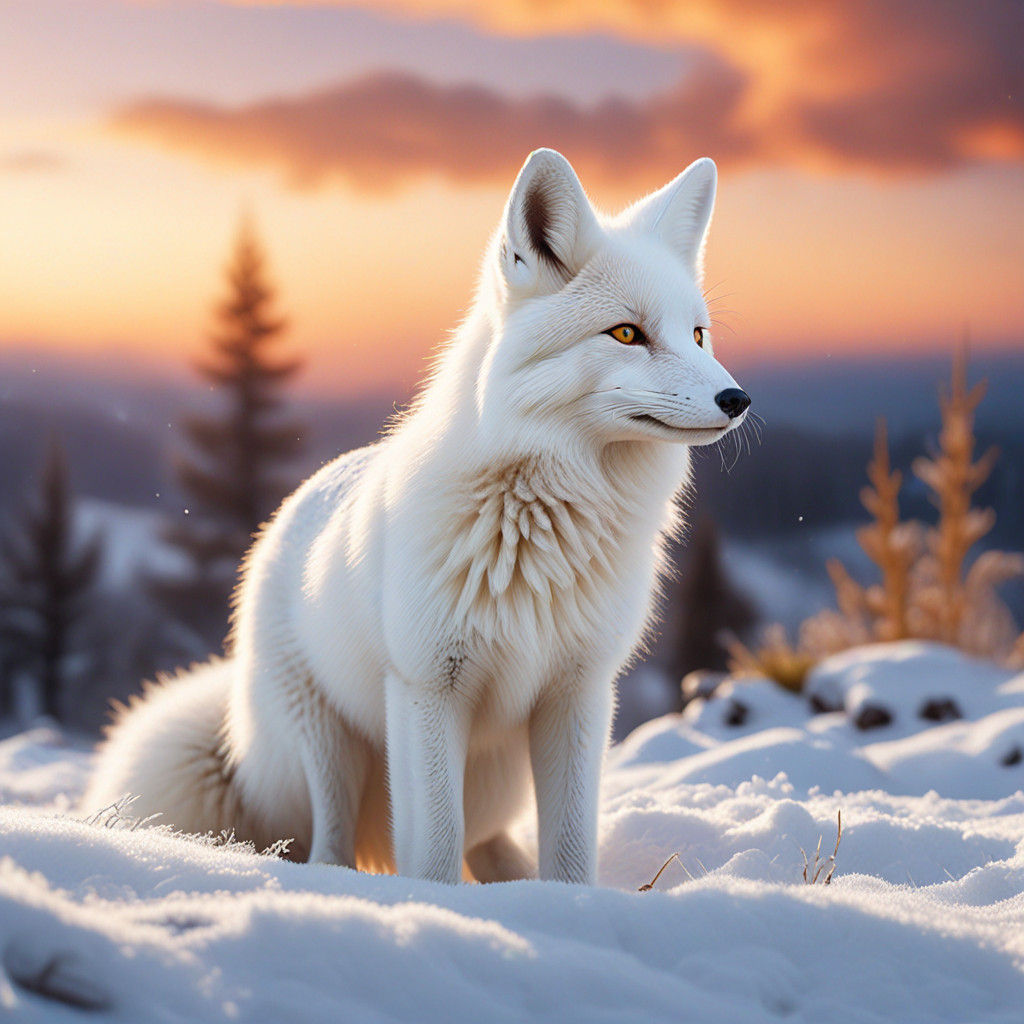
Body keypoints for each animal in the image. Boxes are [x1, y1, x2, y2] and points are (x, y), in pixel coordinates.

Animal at [83, 148, 750, 885]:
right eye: (628, 334)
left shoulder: (577, 693)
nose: (737, 399)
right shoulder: (429, 688)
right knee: (332, 847)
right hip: (329, 745)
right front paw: (434, 906)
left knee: (485, 842)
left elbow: (571, 849)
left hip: (496, 772)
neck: (539, 522)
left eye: (698, 334)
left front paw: (567, 905)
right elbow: (431, 848)